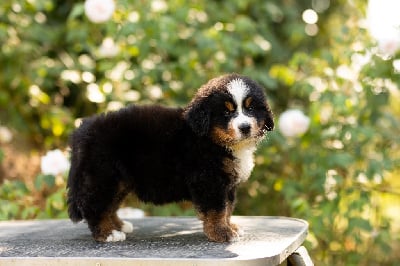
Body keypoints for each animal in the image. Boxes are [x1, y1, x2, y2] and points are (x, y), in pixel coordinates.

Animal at [67, 73, 274, 243]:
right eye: (226, 112)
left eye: (251, 108)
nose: (245, 127)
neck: (211, 139)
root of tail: (83, 129)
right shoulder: (209, 181)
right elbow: (217, 210)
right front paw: (221, 233)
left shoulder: (228, 184)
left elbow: (228, 208)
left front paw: (230, 226)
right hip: (103, 176)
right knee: (94, 205)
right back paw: (107, 233)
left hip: (119, 181)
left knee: (110, 204)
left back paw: (119, 225)